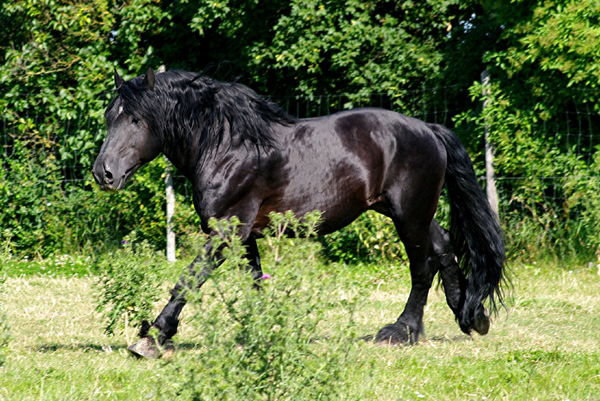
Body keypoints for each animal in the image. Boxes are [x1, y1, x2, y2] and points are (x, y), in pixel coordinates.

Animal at [94, 67, 506, 358]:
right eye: (109, 116)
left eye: (135, 119)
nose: (103, 173)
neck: (228, 145)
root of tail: (430, 130)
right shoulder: (246, 235)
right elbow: (254, 282)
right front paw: (259, 332)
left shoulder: (227, 230)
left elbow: (189, 279)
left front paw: (152, 338)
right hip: (410, 212)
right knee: (444, 246)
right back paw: (471, 316)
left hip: (409, 214)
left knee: (423, 265)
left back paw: (402, 331)